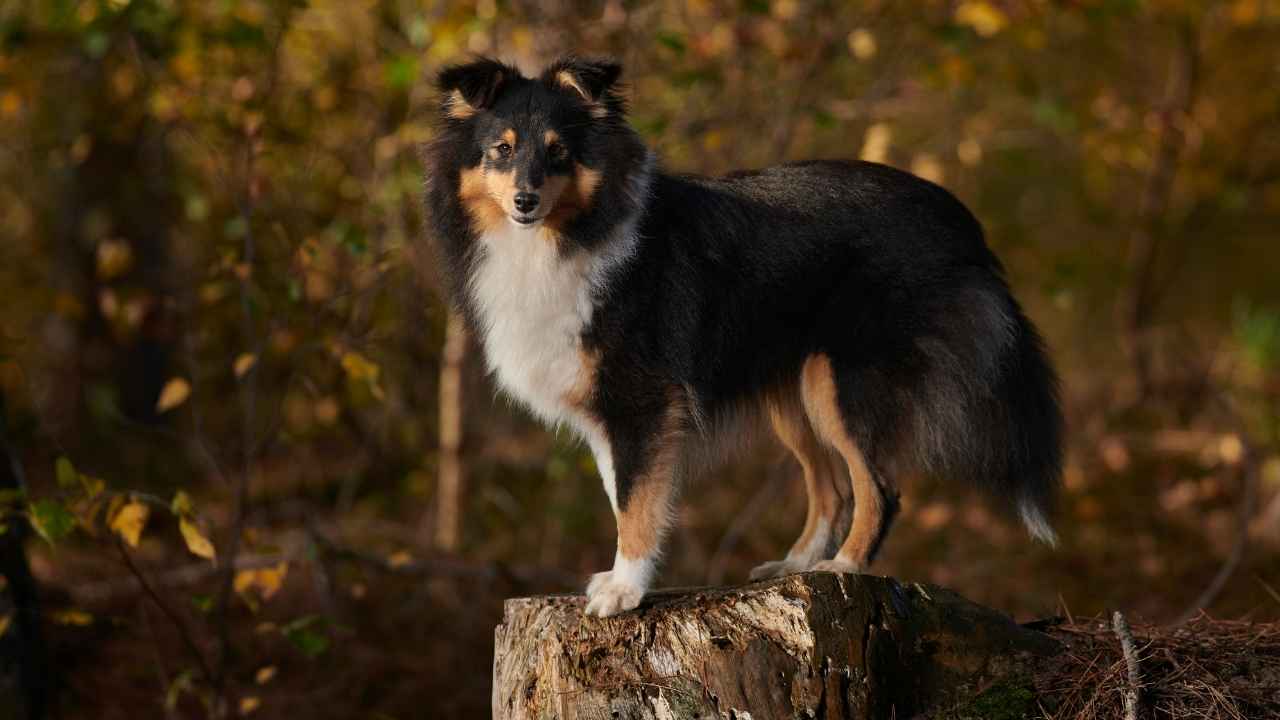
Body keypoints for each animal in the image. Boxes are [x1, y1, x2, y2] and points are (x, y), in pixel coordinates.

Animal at [419, 56, 1059, 617]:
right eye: (501, 149)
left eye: (559, 152)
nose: (525, 201)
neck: (571, 234)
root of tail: (960, 221)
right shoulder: (613, 411)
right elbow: (620, 491)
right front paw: (621, 579)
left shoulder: (643, 401)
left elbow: (636, 500)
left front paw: (623, 591)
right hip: (794, 392)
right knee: (831, 490)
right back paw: (794, 567)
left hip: (841, 380)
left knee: (878, 487)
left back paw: (844, 568)